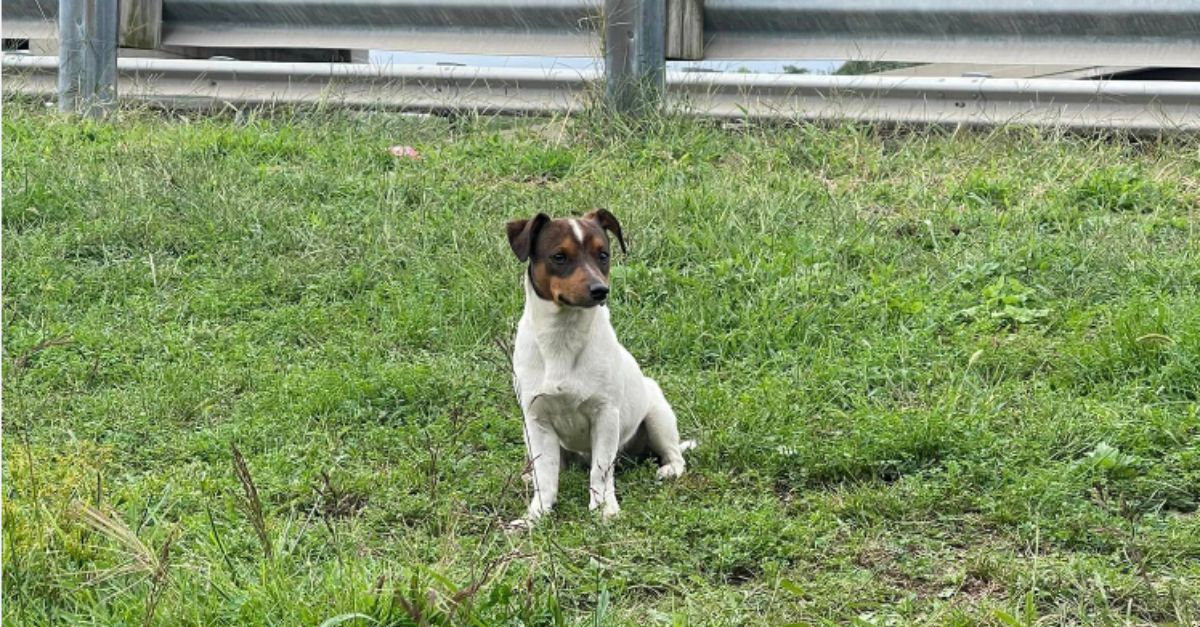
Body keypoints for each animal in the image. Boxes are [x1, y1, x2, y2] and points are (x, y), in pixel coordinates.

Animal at [506, 209, 696, 521]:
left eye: (603, 255)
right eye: (559, 256)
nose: (600, 290)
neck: (563, 338)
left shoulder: (605, 416)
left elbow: (601, 471)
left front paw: (604, 508)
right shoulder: (537, 419)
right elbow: (545, 478)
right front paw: (537, 515)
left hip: (658, 416)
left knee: (674, 456)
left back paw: (667, 469)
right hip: (529, 432)